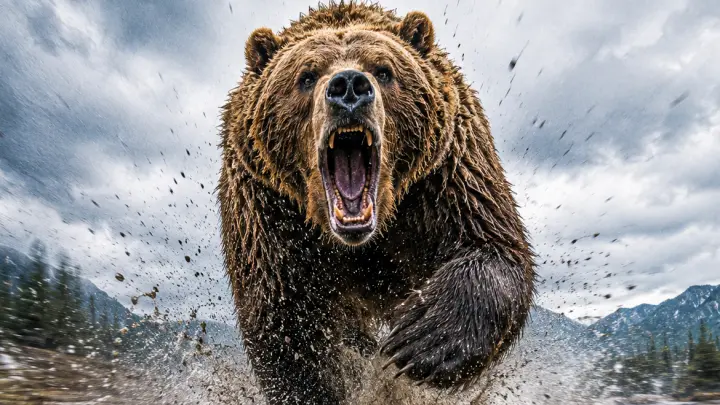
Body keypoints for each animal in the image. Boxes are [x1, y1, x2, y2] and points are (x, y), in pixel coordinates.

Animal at [217, 2, 536, 404]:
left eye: (384, 70)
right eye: (306, 75)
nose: (349, 87)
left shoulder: (446, 174)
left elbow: (492, 244)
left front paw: (423, 338)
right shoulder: (268, 209)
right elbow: (285, 321)